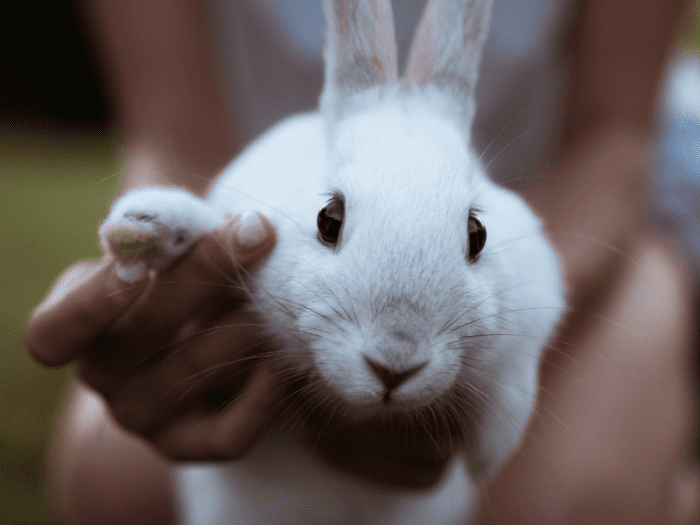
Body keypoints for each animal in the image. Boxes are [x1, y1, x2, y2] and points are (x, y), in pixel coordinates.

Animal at [98, 0, 566, 523]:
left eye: (477, 234)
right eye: (328, 219)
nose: (394, 364)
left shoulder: (537, 296)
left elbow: (514, 376)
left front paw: (490, 454)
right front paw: (143, 230)